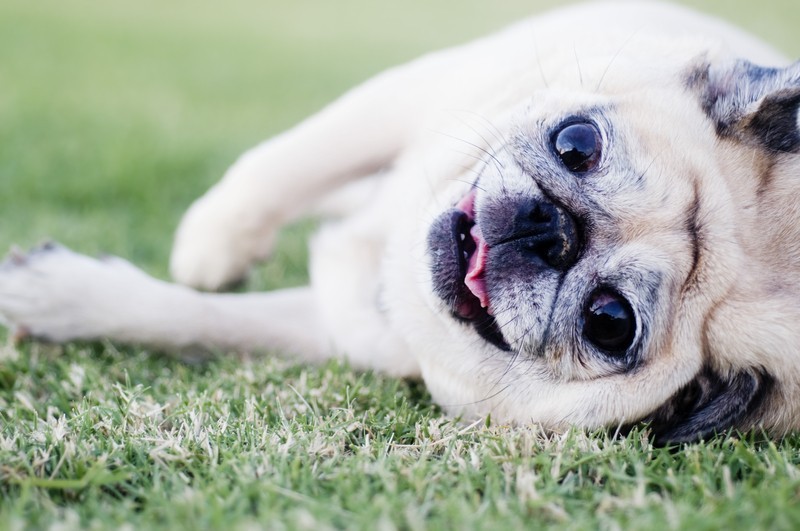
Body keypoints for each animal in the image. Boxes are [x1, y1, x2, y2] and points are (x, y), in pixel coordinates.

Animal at [1, 1, 800, 444]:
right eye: (578, 143)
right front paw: (211, 244)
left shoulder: (344, 328)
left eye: (610, 322)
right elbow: (287, 162)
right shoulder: (421, 92)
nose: (547, 228)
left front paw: (60, 297)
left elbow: (203, 321)